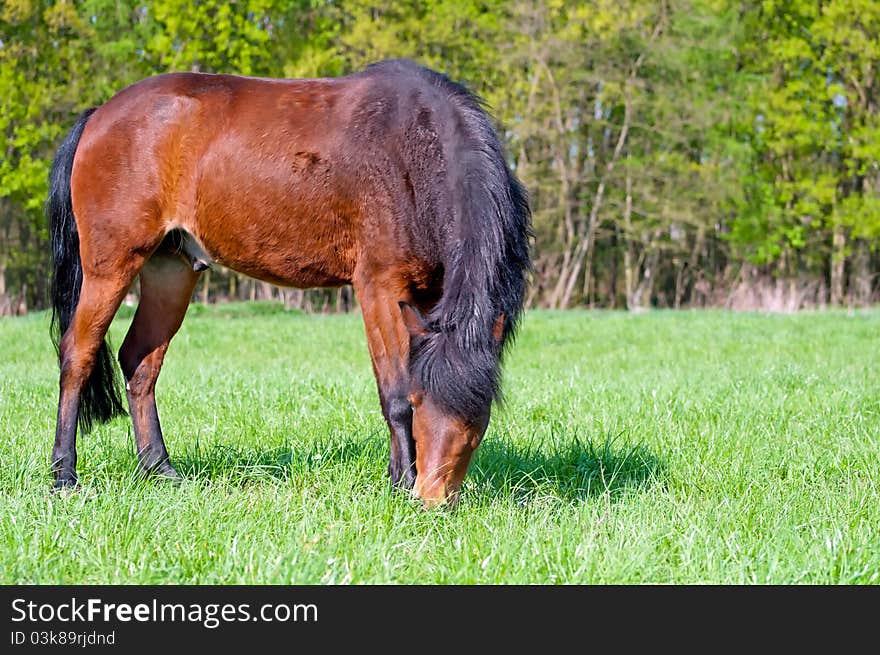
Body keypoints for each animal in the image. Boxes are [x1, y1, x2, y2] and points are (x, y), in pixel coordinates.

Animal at [46, 57, 528, 508]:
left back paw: (160, 470)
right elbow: (394, 393)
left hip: (171, 270)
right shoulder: (379, 287)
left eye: (478, 416)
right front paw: (401, 481)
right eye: (425, 402)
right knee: (78, 355)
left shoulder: (428, 297)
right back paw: (64, 476)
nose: (433, 499)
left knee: (140, 363)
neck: (412, 150)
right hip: (111, 266)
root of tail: (100, 115)